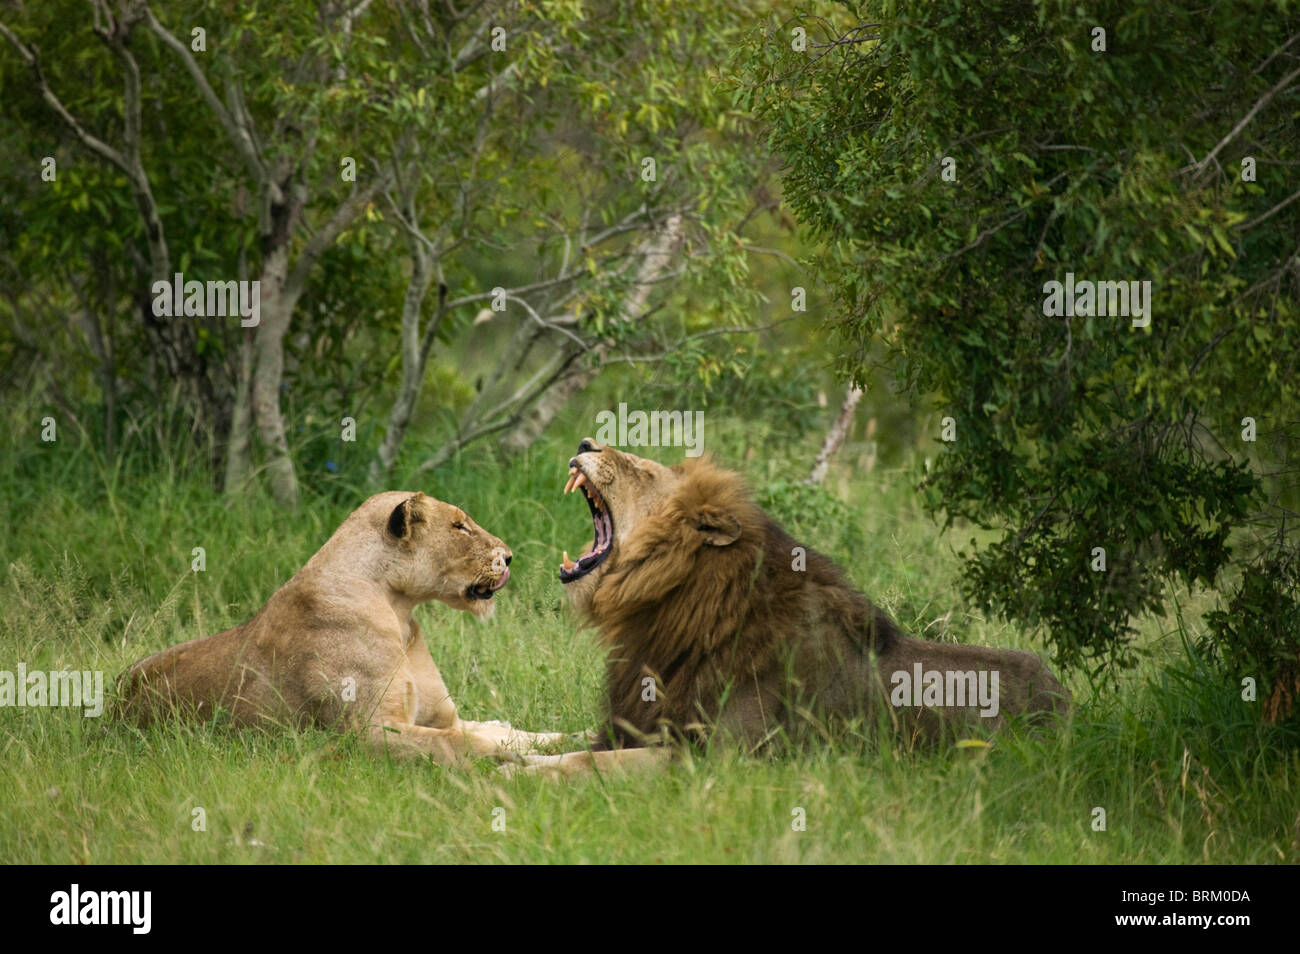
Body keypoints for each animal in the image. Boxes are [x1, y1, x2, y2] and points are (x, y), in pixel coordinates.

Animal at [119, 491, 578, 763]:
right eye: (460, 526)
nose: (510, 555)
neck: (399, 610)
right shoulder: (366, 732)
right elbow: (464, 743)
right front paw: (527, 764)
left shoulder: (441, 717)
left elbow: (511, 733)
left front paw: (573, 738)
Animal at [506, 440, 1070, 778]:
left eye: (641, 471)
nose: (585, 444)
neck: (670, 607)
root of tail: (1069, 704)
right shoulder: (635, 720)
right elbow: (564, 744)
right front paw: (507, 756)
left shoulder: (726, 757)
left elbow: (589, 764)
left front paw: (518, 777)